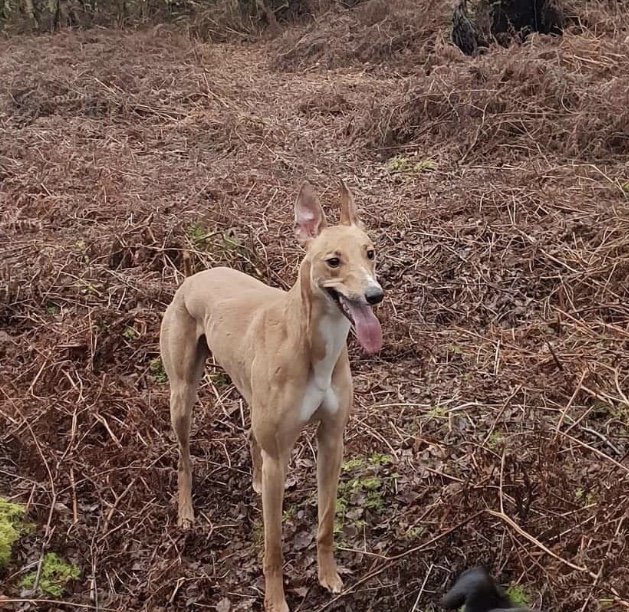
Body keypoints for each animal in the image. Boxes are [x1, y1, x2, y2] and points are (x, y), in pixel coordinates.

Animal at [160, 181, 384, 611]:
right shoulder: (280, 455)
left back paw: (257, 483)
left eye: (370, 252)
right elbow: (273, 546)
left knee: (251, 437)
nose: (374, 295)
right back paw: (185, 512)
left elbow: (326, 521)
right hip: (182, 395)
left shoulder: (332, 440)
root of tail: (196, 275)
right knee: (183, 457)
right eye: (333, 261)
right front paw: (275, 601)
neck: (310, 343)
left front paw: (328, 576)